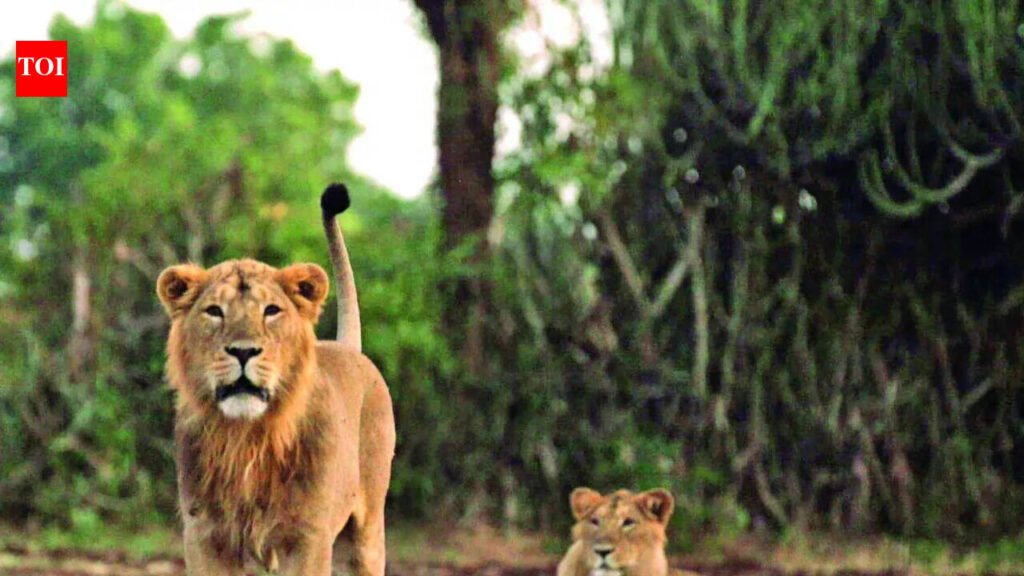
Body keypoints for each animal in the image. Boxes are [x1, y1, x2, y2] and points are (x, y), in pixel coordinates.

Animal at [156, 183, 395, 576]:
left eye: (271, 311)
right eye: (214, 311)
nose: (243, 351)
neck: (245, 438)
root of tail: (349, 347)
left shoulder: (308, 536)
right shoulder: (204, 535)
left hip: (367, 532)